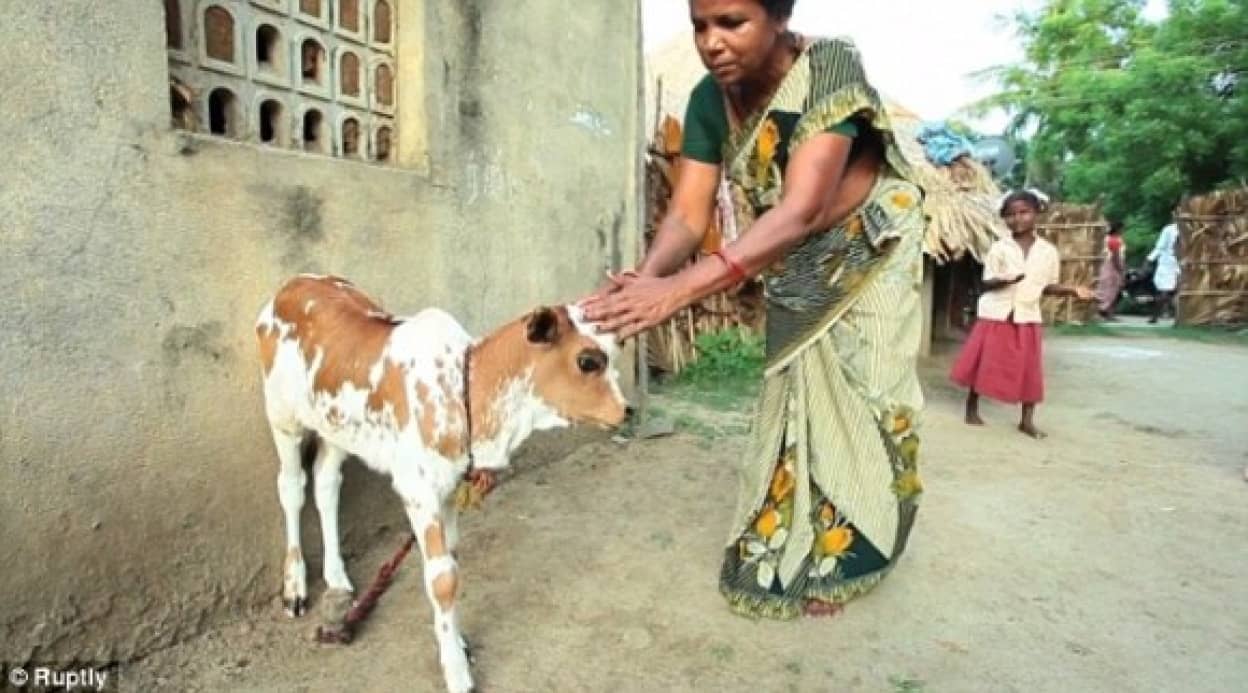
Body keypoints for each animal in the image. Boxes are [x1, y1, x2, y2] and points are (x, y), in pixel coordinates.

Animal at [255, 277, 624, 693]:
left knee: (327, 483)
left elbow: (454, 563)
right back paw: (295, 587)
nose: (627, 410)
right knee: (292, 487)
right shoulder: (419, 493)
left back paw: (337, 576)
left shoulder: (449, 489)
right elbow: (443, 579)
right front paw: (456, 670)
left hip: (335, 427)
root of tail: (294, 284)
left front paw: (458, 642)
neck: (470, 398)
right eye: (588, 361)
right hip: (282, 415)